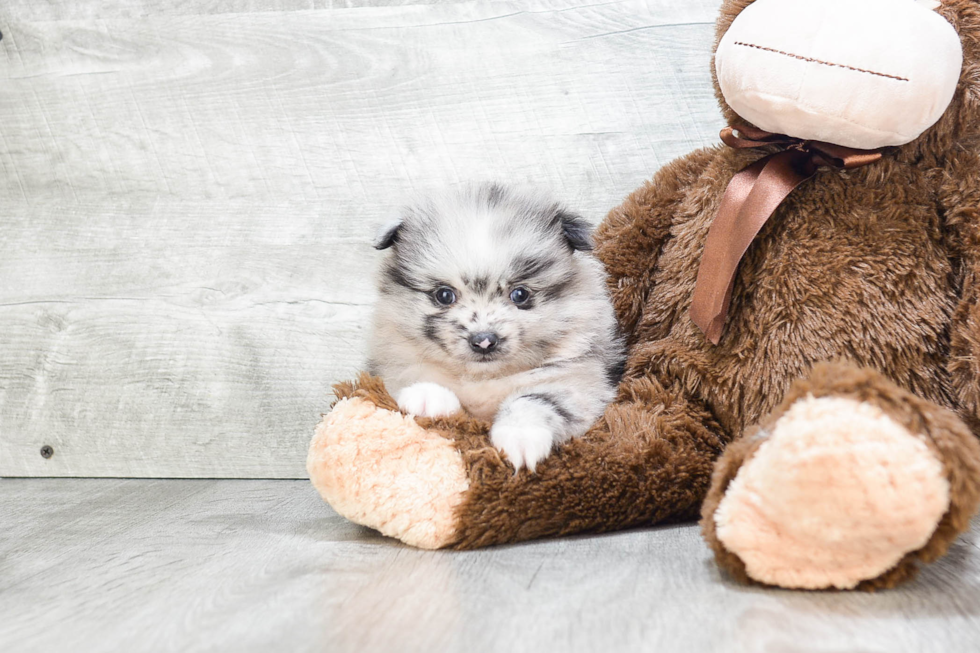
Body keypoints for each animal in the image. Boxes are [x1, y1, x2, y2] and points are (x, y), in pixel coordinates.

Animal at [368, 183, 628, 468]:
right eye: (444, 295)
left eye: (520, 294)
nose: (483, 341)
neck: (483, 378)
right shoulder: (392, 357)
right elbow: (413, 372)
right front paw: (427, 397)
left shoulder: (579, 378)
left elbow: (536, 398)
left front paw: (520, 434)